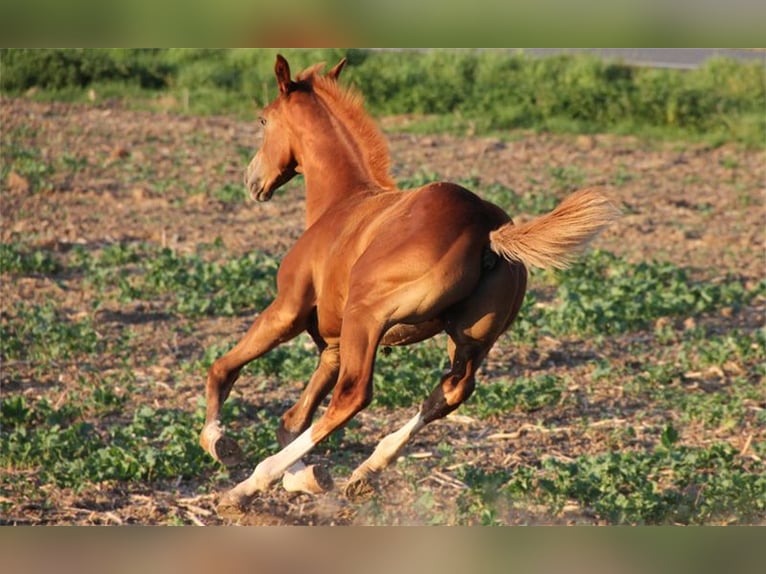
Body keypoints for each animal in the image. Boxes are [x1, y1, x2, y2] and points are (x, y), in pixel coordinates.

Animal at [201, 54, 620, 516]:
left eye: (263, 119)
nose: (252, 181)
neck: (342, 203)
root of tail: (487, 226)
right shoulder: (331, 346)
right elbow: (293, 420)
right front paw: (304, 477)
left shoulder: (288, 310)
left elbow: (224, 370)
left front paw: (221, 444)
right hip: (469, 338)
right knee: (451, 391)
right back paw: (365, 471)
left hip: (367, 318)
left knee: (353, 396)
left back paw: (249, 486)